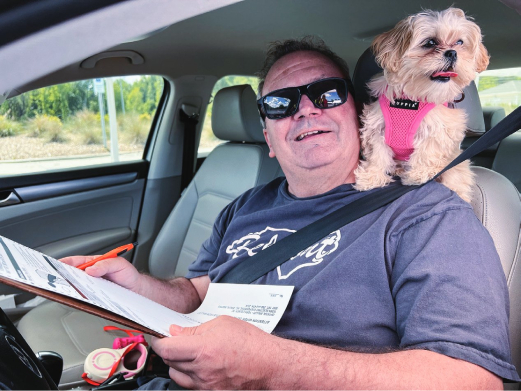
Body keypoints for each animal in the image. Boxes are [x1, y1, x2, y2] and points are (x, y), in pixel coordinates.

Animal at [354, 7, 488, 204]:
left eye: (459, 42)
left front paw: (419, 174)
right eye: (430, 42)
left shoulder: (439, 128)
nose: (452, 52)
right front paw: (371, 177)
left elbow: (428, 150)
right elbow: (377, 155)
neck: (412, 99)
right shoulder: (377, 127)